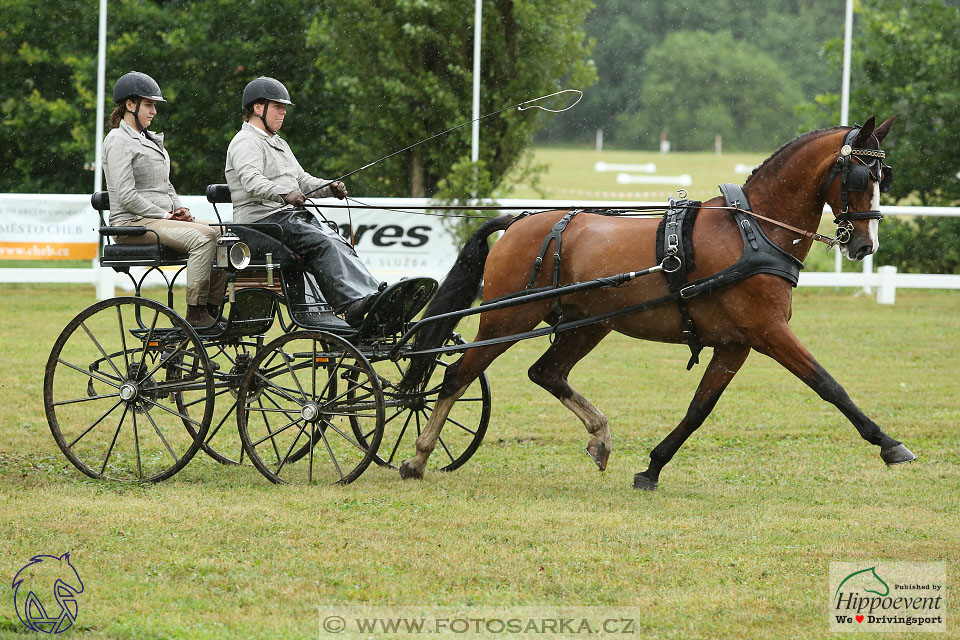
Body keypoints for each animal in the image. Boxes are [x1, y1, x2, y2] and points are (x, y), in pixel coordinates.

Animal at [398, 114, 916, 490]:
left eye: (883, 177)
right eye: (857, 177)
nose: (865, 245)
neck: (753, 231)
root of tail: (520, 221)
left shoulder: (736, 343)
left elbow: (698, 409)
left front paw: (652, 467)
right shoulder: (768, 331)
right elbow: (829, 385)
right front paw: (889, 444)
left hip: (589, 324)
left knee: (546, 373)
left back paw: (600, 437)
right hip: (507, 318)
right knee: (456, 376)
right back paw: (418, 457)